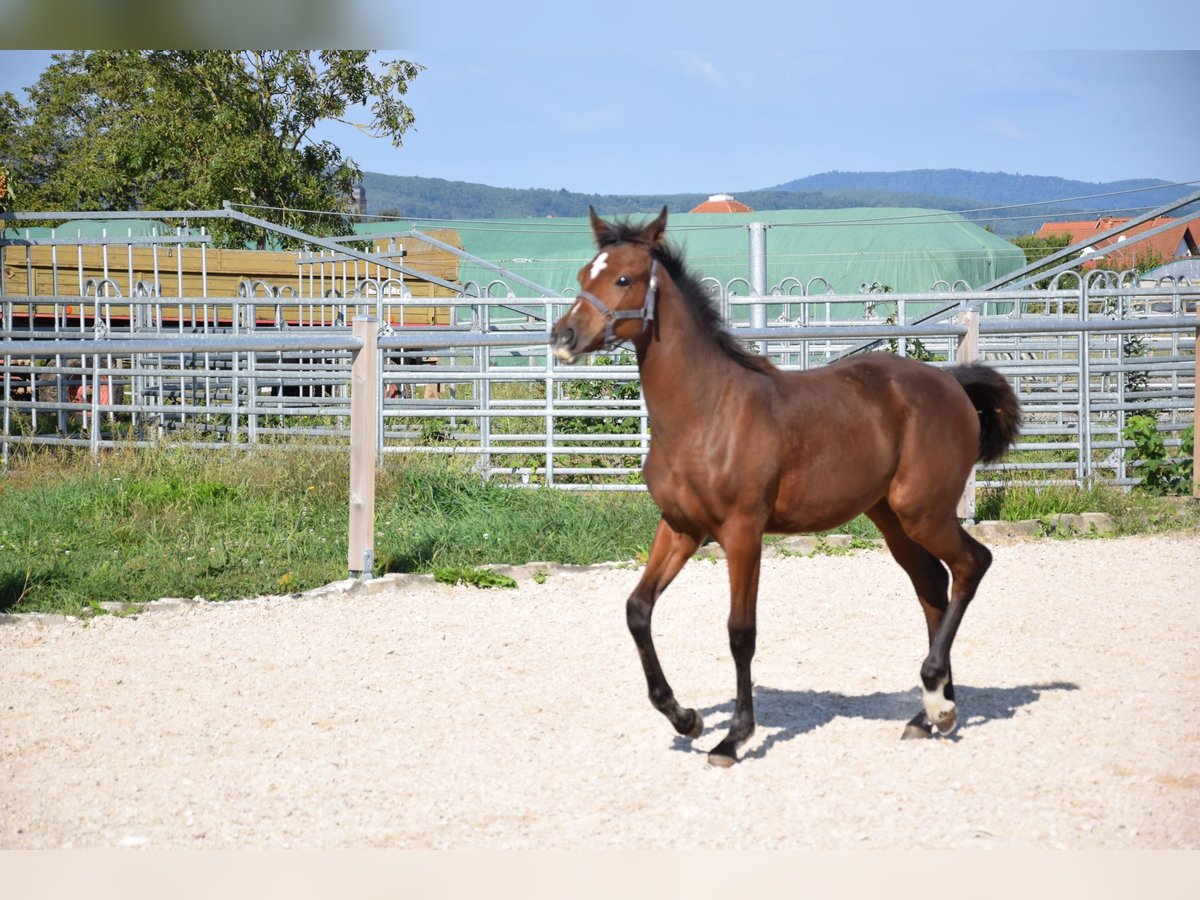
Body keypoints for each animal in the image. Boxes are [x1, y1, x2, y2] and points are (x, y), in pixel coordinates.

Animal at [549, 206, 1017, 768]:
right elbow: (638, 610)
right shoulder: (681, 528)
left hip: (922, 511)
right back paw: (931, 713)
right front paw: (685, 718)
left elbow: (740, 633)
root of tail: (951, 382)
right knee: (933, 589)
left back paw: (938, 701)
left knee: (971, 565)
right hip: (892, 520)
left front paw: (733, 738)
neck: (705, 412)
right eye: (583, 275)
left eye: (624, 278)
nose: (564, 337)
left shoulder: (742, 533)